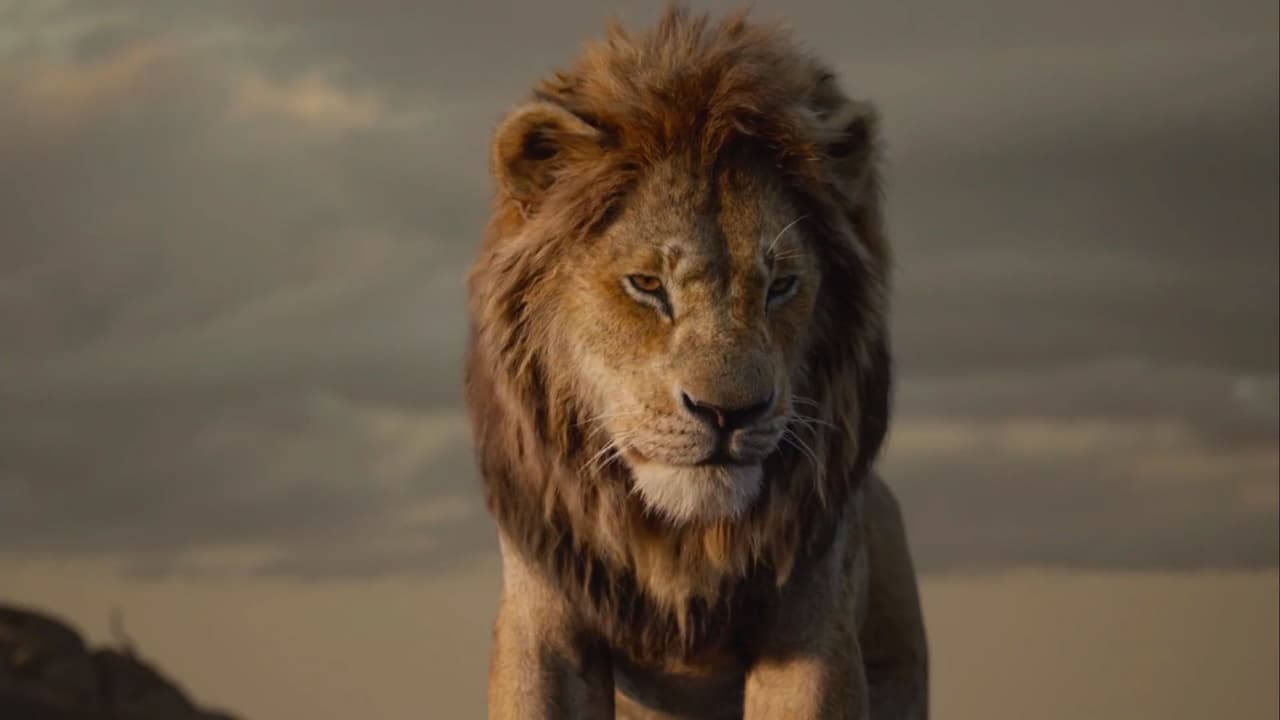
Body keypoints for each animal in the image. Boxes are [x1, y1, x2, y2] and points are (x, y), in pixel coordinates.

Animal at [464, 6, 928, 719]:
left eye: (780, 287)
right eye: (647, 285)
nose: (728, 413)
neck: (681, 546)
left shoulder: (813, 624)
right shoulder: (542, 625)